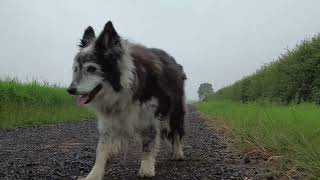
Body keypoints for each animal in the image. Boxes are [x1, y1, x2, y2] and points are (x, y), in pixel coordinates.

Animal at [67, 21, 188, 180]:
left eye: (91, 69)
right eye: (76, 68)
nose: (70, 90)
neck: (122, 87)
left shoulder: (149, 118)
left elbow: (148, 144)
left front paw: (146, 169)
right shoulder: (109, 121)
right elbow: (101, 149)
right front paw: (94, 174)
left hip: (175, 111)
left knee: (177, 132)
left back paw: (178, 153)